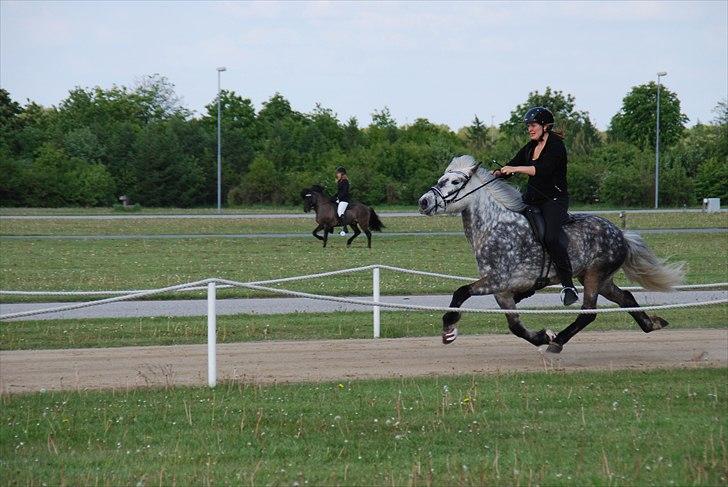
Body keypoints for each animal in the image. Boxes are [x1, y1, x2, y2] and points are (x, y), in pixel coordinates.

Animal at [418, 156, 684, 354]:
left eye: (454, 182)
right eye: (441, 179)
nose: (423, 202)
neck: (494, 226)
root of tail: (621, 234)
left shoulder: (497, 281)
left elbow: (461, 291)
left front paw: (449, 327)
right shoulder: (502, 290)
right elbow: (515, 326)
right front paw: (542, 336)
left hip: (594, 276)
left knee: (588, 313)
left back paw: (558, 342)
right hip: (598, 278)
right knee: (626, 297)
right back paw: (651, 323)